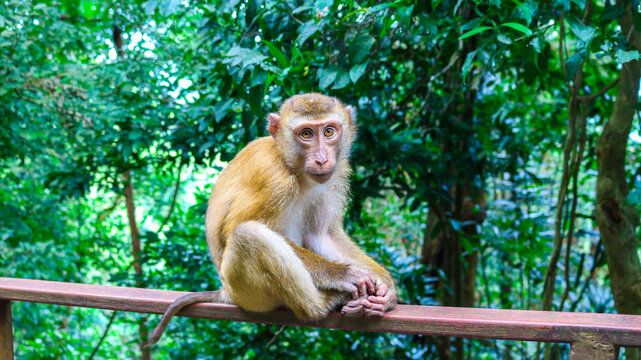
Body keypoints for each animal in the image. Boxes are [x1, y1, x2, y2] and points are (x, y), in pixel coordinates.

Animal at [146, 93, 396, 346]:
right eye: (306, 134)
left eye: (328, 131)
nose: (322, 159)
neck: (292, 166)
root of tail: (226, 293)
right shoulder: (273, 179)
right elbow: (232, 230)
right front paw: (346, 275)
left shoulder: (337, 174)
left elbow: (322, 235)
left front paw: (387, 287)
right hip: (246, 292)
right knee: (248, 234)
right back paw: (322, 305)